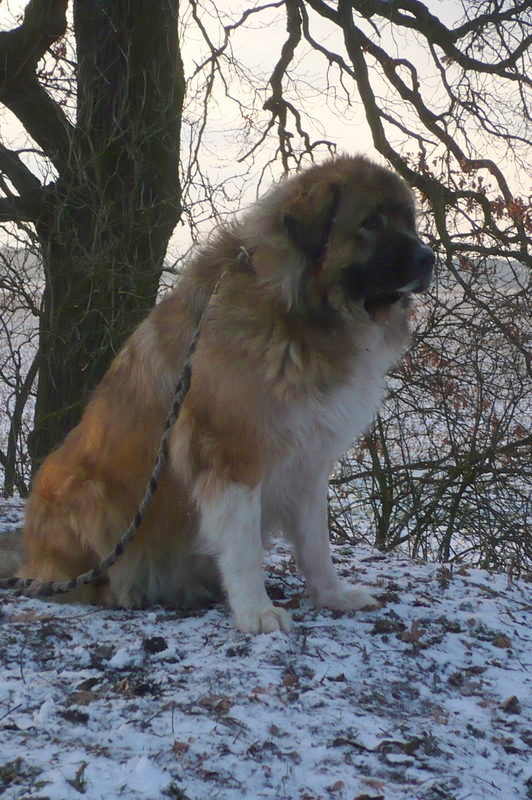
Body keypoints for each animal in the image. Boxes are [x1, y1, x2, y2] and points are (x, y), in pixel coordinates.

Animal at [16, 155, 434, 633]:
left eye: (409, 222)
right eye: (372, 222)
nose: (429, 258)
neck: (301, 313)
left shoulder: (309, 457)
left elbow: (316, 543)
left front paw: (332, 595)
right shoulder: (232, 452)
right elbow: (244, 547)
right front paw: (256, 611)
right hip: (89, 492)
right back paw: (126, 590)